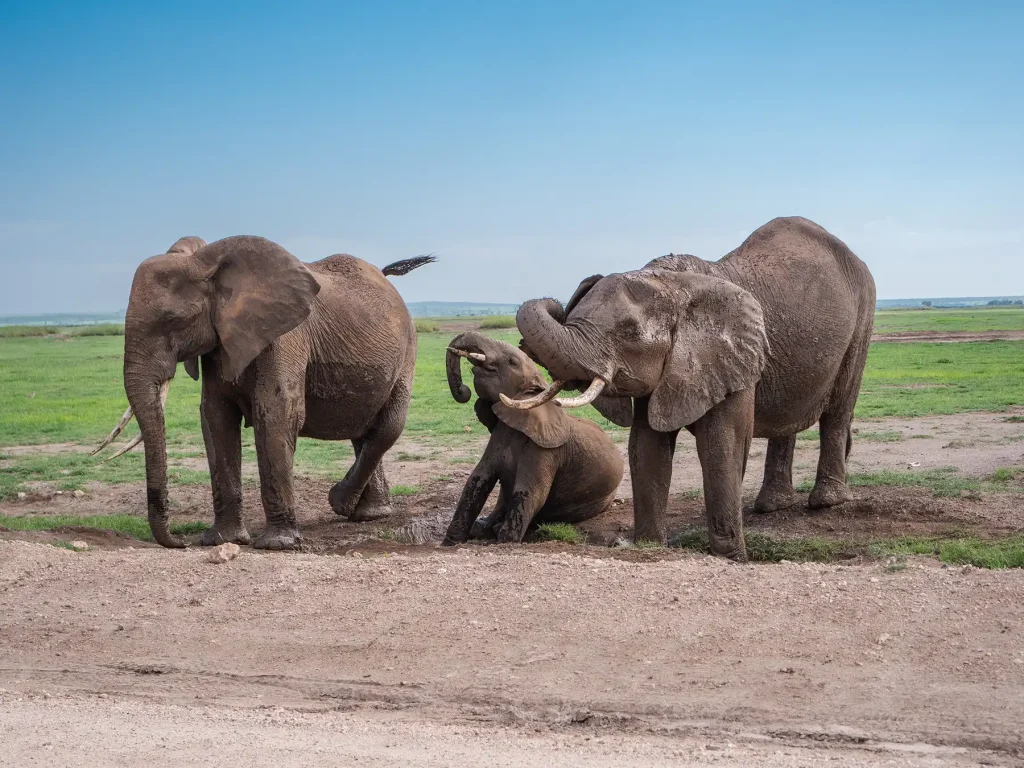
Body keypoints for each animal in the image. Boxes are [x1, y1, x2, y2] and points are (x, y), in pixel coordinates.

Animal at [89, 237, 436, 548]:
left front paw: (276, 545)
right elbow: (215, 416)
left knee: (388, 426)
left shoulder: (286, 335)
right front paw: (221, 540)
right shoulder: (219, 343)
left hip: (409, 349)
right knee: (363, 431)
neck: (206, 262)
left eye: (173, 320)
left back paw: (341, 503)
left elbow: (276, 411)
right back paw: (366, 514)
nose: (180, 542)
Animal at [442, 331, 622, 548]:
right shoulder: (499, 437)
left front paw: (506, 541)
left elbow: (530, 493)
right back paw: (485, 525)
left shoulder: (546, 451)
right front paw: (450, 542)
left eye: (511, 362)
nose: (463, 390)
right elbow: (477, 481)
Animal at [509, 215, 872, 561]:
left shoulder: (732, 354)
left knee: (839, 410)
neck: (672, 282)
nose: (558, 305)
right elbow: (646, 446)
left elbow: (722, 442)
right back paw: (772, 506)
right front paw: (650, 546)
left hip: (863, 317)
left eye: (629, 332)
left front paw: (733, 557)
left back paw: (827, 502)